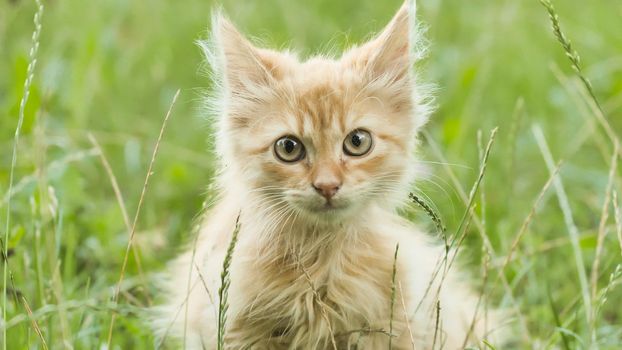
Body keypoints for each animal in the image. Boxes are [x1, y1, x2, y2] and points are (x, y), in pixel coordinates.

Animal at [155, 1, 502, 348]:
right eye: (288, 147)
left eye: (357, 142)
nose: (327, 186)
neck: (320, 256)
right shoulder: (233, 326)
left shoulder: (395, 324)